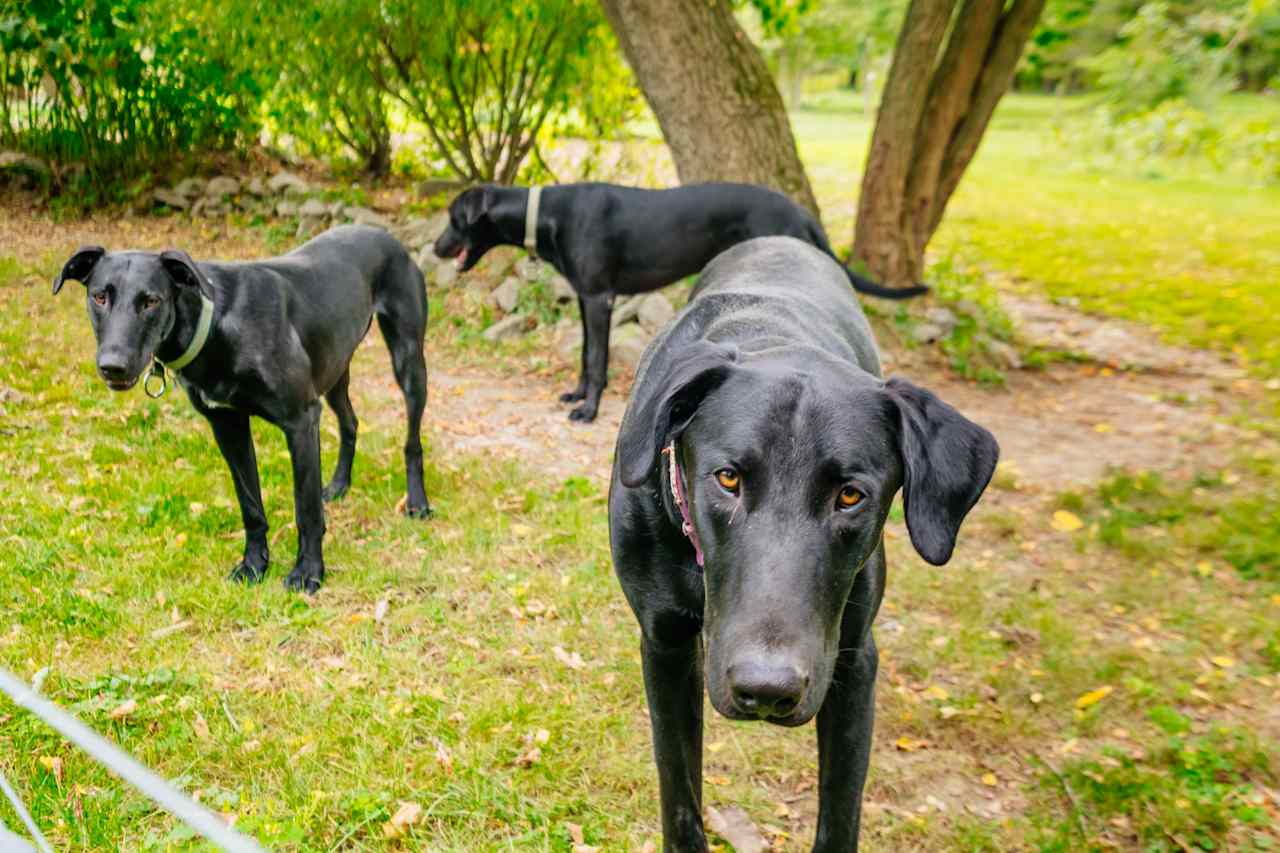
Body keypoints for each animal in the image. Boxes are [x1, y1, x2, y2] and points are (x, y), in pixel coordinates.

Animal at [55, 225, 432, 591]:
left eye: (151, 301)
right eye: (99, 297)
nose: (113, 366)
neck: (215, 324)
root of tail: (385, 234)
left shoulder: (300, 422)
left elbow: (306, 510)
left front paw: (308, 572)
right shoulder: (227, 425)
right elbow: (250, 504)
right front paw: (254, 565)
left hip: (408, 360)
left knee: (412, 441)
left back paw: (417, 501)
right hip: (335, 370)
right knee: (350, 423)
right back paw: (340, 485)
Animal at [435, 185, 926, 425]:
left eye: (454, 219)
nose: (437, 249)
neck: (547, 212)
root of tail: (801, 213)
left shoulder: (599, 298)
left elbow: (597, 357)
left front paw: (589, 410)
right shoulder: (584, 299)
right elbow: (584, 355)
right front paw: (576, 394)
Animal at [604, 235, 993, 845]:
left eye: (851, 495)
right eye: (728, 478)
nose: (765, 689)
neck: (770, 336)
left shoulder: (853, 662)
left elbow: (839, 812)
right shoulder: (665, 645)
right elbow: (680, 795)